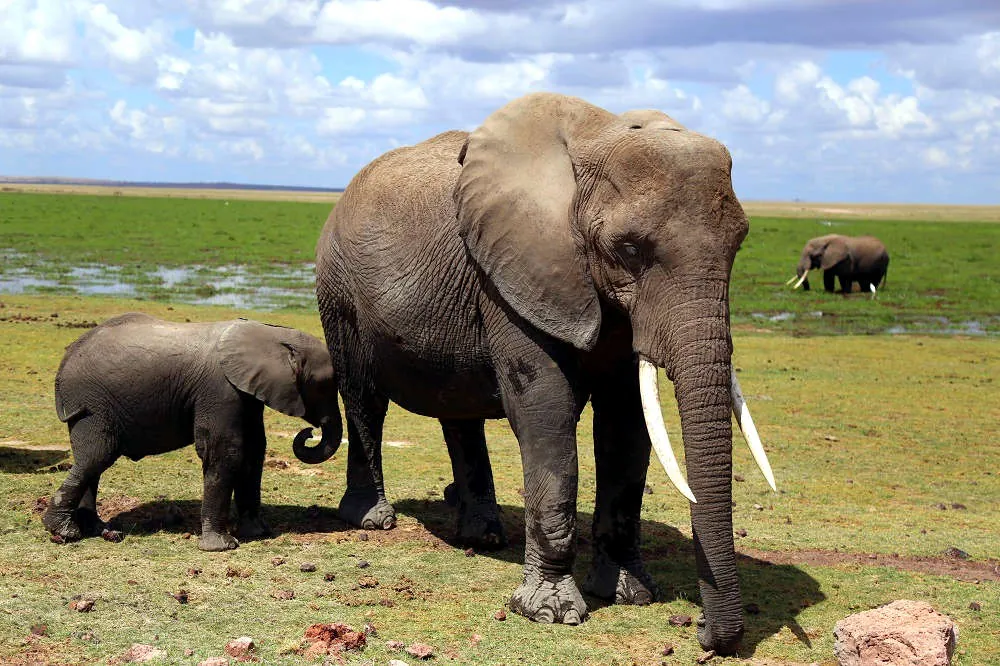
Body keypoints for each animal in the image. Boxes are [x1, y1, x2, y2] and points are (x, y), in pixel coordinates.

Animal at [43, 313, 342, 551]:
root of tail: (67, 356)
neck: (272, 335)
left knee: (91, 463)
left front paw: (257, 533)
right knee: (96, 457)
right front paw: (222, 547)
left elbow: (255, 450)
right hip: (93, 405)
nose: (309, 432)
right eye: (325, 385)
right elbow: (226, 451)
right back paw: (64, 531)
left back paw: (101, 531)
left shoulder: (247, 393)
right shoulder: (220, 390)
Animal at [314, 92, 775, 655]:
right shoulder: (514, 273)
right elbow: (546, 411)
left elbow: (626, 423)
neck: (598, 139)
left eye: (739, 243)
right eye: (629, 249)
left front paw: (630, 595)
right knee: (364, 398)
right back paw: (373, 520)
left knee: (457, 413)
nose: (704, 633)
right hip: (338, 290)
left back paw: (482, 536)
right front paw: (552, 613)